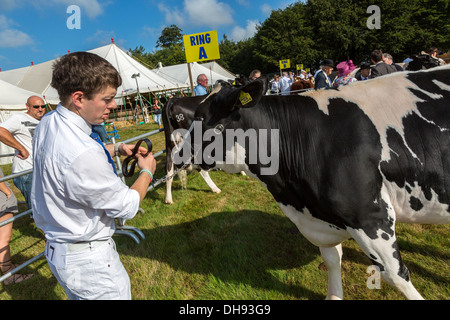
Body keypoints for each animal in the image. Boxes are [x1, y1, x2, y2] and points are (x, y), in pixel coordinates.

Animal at [181, 65, 448, 300]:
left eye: (201, 118)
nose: (178, 154)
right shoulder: (323, 216)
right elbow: (332, 259)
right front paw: (334, 295)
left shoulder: (371, 216)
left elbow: (396, 275)